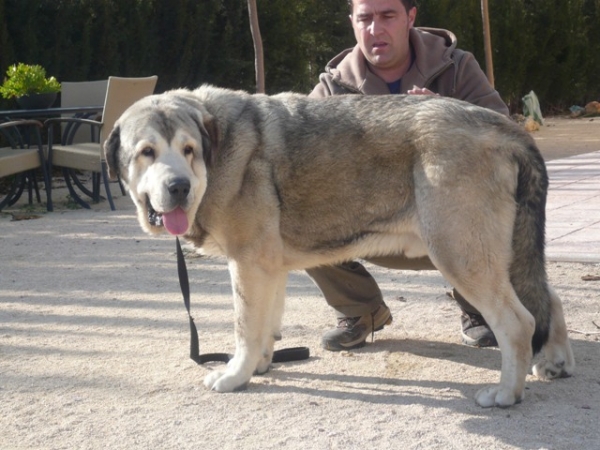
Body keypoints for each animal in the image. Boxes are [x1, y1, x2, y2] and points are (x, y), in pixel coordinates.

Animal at [105, 85, 576, 408]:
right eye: (146, 152)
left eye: (187, 150)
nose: (178, 187)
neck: (217, 149)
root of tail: (507, 127)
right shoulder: (268, 268)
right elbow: (264, 326)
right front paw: (261, 365)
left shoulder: (248, 265)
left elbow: (244, 329)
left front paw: (235, 375)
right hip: (503, 253)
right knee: (547, 298)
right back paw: (554, 363)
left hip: (459, 254)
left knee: (517, 322)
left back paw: (506, 393)